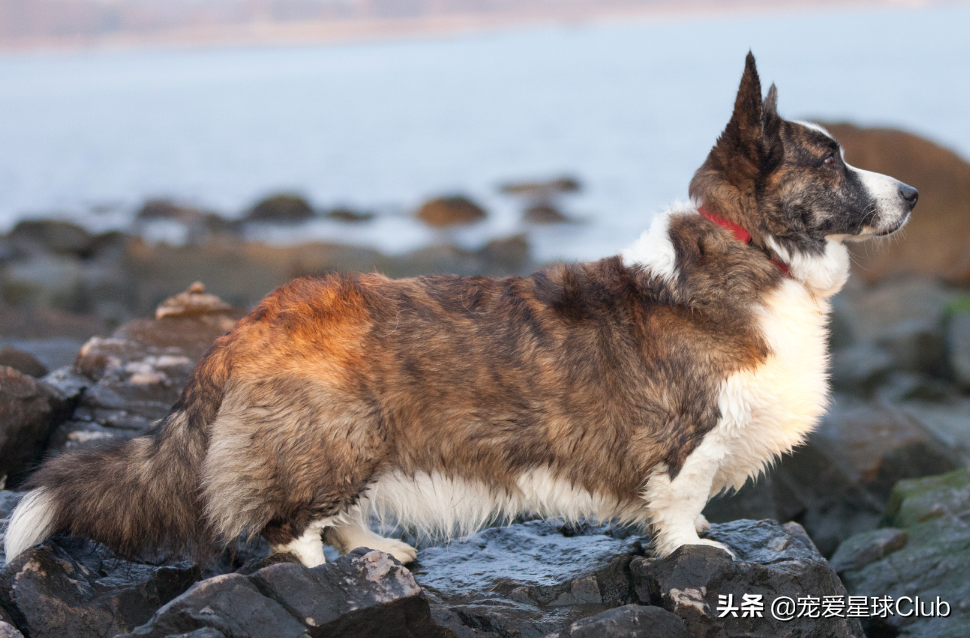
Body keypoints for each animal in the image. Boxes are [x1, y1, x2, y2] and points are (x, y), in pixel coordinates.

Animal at [5, 52, 916, 568]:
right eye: (830, 158)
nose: (911, 192)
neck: (749, 250)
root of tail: (250, 323)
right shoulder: (688, 441)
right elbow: (683, 509)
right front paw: (695, 553)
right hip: (338, 438)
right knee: (289, 527)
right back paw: (323, 577)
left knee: (339, 516)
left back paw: (377, 550)